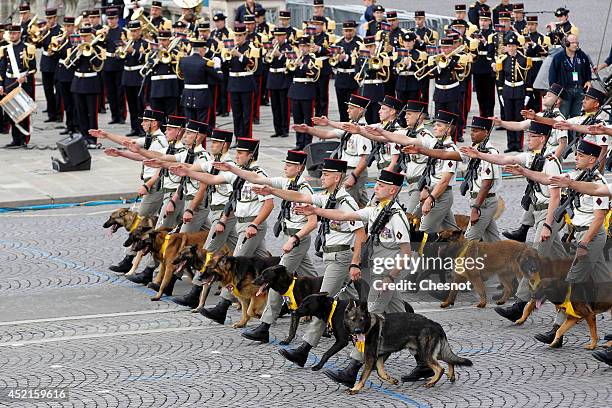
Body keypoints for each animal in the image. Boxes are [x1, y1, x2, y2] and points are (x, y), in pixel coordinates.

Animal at [342, 302, 470, 394]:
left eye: (361, 320)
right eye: (353, 320)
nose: (357, 331)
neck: (369, 326)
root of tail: (435, 324)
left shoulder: (371, 357)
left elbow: (363, 376)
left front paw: (355, 389)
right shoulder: (380, 356)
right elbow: (381, 372)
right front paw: (392, 380)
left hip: (425, 353)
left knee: (440, 368)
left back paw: (432, 382)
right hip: (434, 352)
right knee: (449, 360)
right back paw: (451, 375)